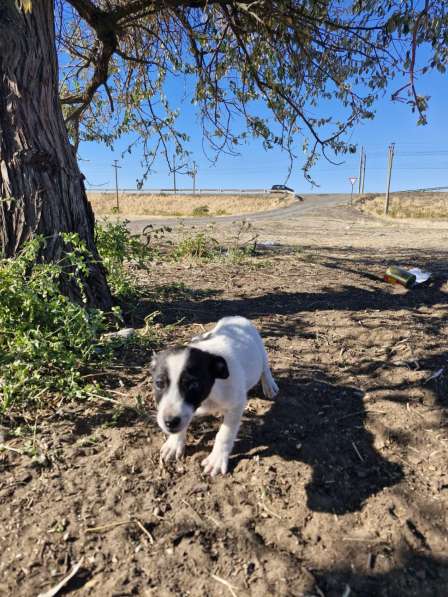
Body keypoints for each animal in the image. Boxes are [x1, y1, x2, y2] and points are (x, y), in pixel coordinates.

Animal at [149, 316, 278, 474]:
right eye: (159, 383)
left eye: (193, 385)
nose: (170, 422)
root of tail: (236, 318)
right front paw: (174, 443)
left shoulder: (235, 406)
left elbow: (224, 434)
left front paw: (217, 458)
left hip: (261, 351)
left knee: (265, 368)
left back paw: (269, 385)